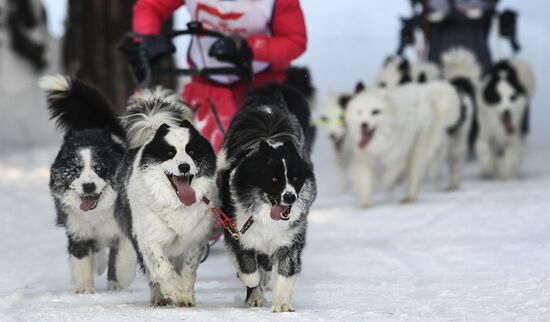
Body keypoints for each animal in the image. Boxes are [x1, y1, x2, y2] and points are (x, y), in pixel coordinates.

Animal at [40, 75, 137, 292]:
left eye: (99, 168)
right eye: (75, 170)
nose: (88, 186)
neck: (97, 212)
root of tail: (91, 125)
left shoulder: (124, 226)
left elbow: (122, 255)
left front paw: (120, 281)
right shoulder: (78, 229)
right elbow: (81, 258)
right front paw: (85, 290)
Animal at [115, 88, 218, 306]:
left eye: (191, 151)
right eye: (170, 153)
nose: (184, 167)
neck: (175, 203)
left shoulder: (195, 240)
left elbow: (188, 270)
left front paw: (185, 297)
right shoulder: (149, 238)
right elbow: (161, 267)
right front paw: (173, 291)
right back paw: (159, 297)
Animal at [219, 82, 316, 312]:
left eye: (296, 178)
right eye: (274, 179)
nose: (290, 197)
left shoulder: (290, 240)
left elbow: (285, 272)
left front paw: (282, 304)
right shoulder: (239, 233)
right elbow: (248, 269)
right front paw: (254, 293)